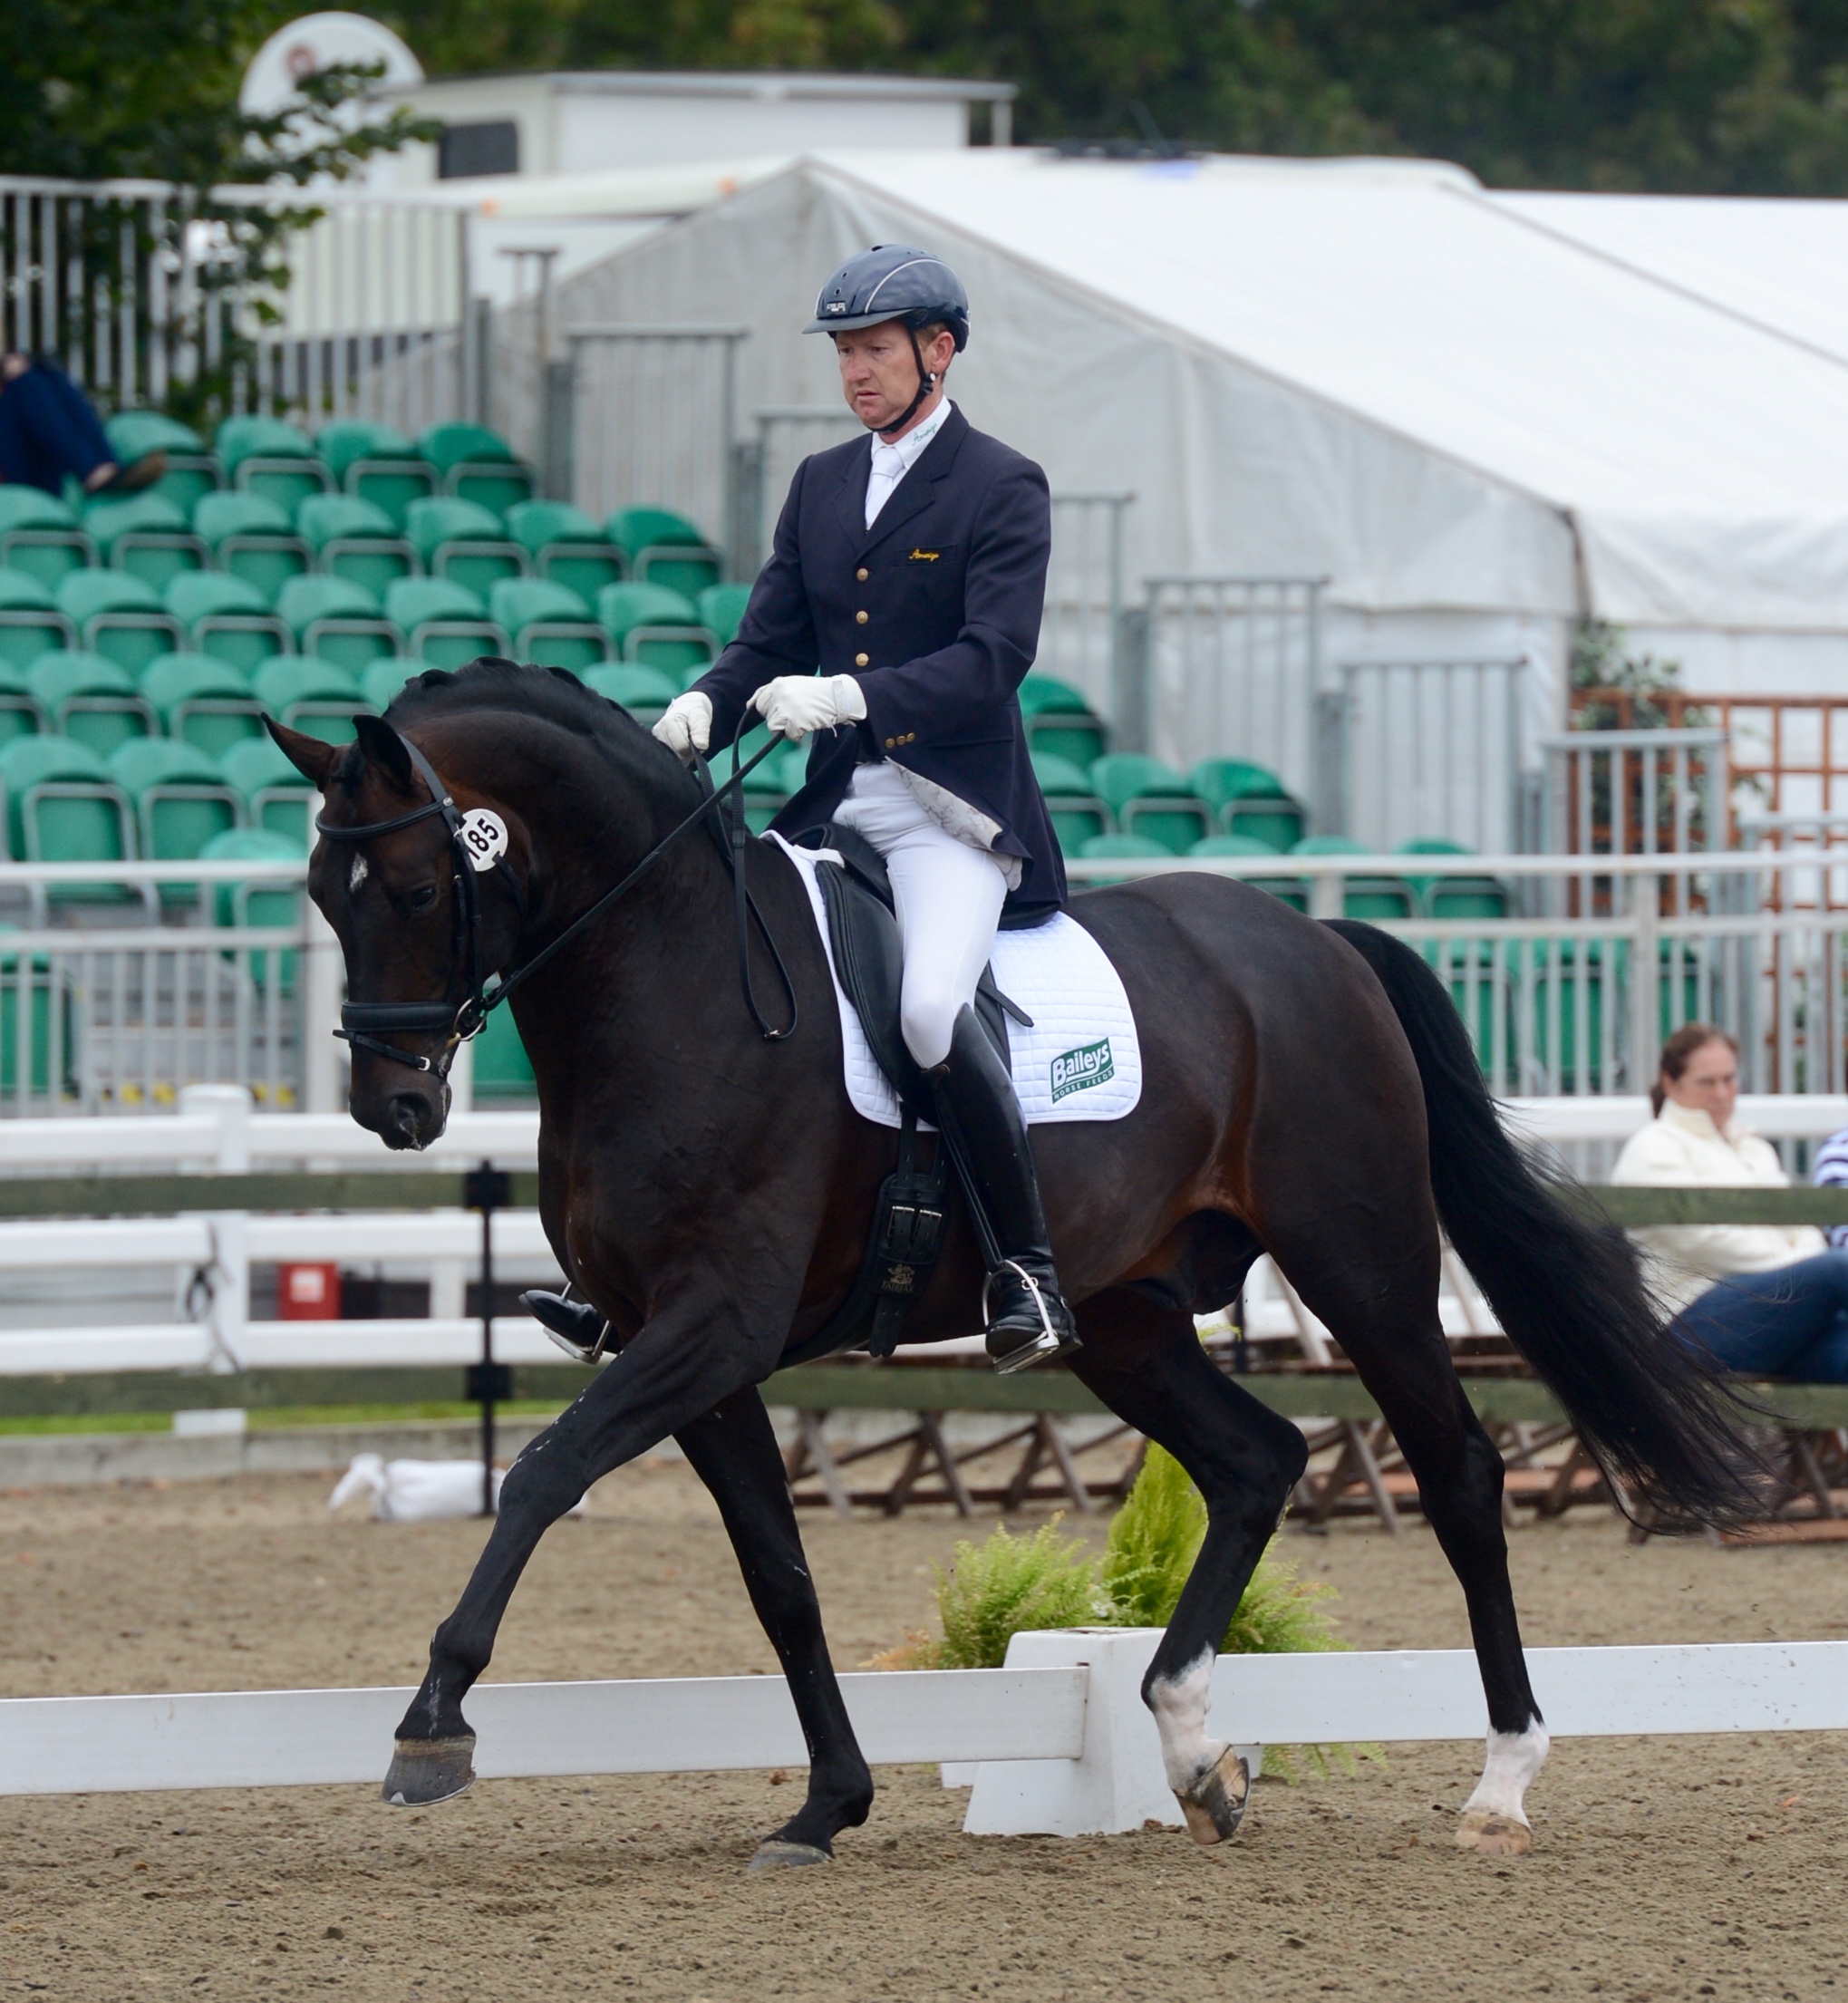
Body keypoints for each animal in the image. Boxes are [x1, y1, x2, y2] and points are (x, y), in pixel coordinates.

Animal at [270, 664, 1746, 1866]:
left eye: (417, 888)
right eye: (321, 896)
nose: (392, 1107)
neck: (671, 978)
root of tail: (1315, 938)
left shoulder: (712, 1323)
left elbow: (541, 1473)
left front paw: (431, 1723)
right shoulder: (685, 1344)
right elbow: (777, 1574)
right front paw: (828, 1805)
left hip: (1360, 1257)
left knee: (1455, 1473)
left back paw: (1498, 1782)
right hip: (1128, 1316)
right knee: (1257, 1460)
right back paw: (1190, 1750)